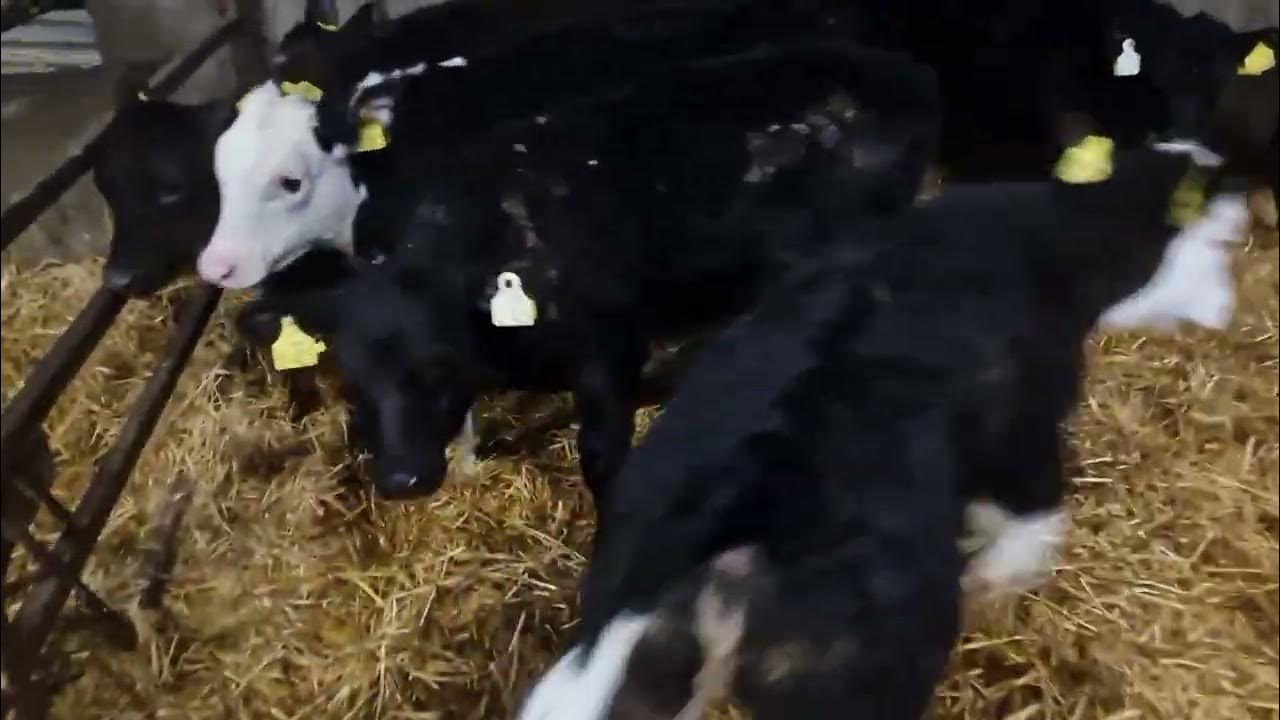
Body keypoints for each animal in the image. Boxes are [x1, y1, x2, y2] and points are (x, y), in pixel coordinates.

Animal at [238, 42, 942, 500]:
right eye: (351, 377)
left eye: (434, 363)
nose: (401, 480)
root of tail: (893, 72)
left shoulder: (611, 347)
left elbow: (603, 458)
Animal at [515, 137, 1249, 720]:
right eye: (1216, 242)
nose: (1226, 313)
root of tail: (731, 530)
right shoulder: (1025, 429)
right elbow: (1033, 529)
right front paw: (993, 577)